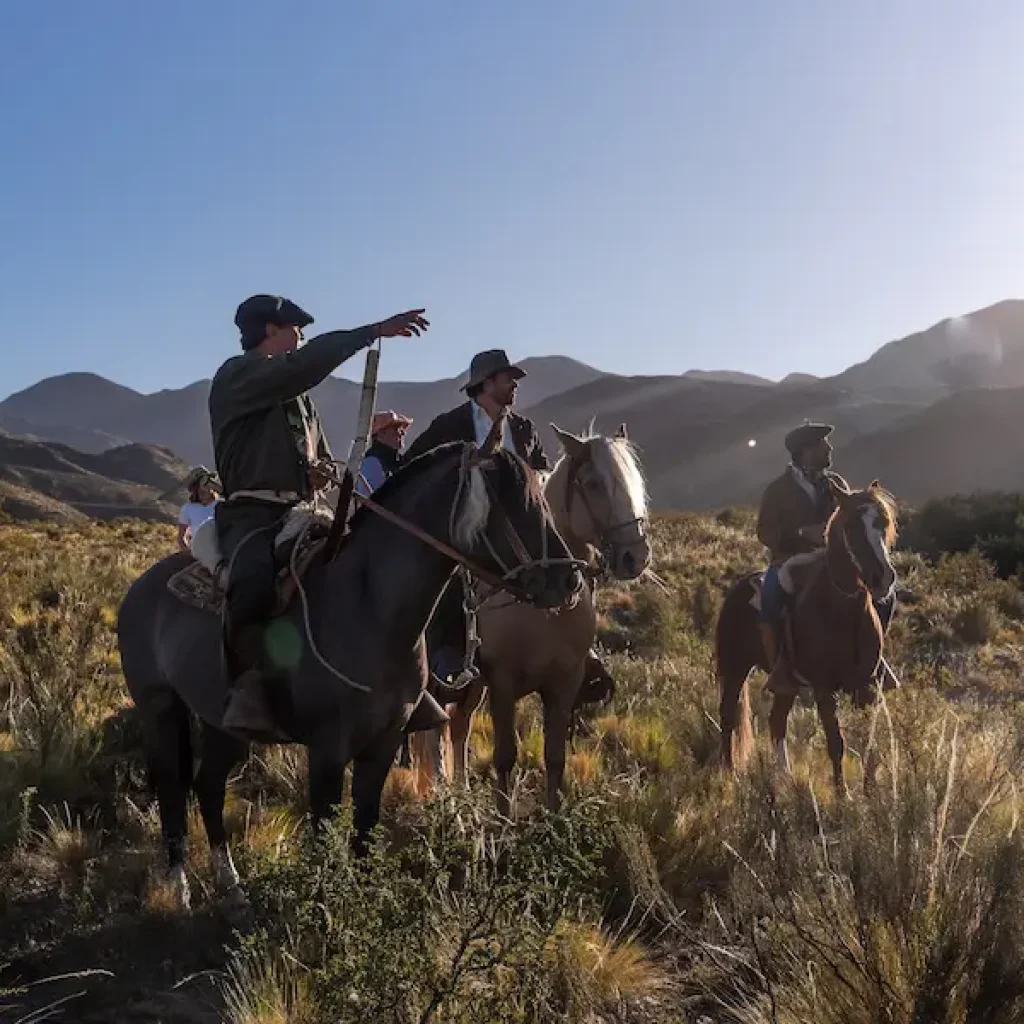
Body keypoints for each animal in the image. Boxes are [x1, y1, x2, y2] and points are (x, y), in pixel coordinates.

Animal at [116, 436, 581, 909]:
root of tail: (138, 589)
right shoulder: (327, 750)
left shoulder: (383, 743)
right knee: (172, 788)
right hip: (160, 709)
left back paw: (232, 886)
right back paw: (180, 889)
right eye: (515, 499)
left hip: (221, 724)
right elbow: (323, 837)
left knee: (207, 786)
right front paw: (324, 914)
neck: (370, 605)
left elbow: (364, 829)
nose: (570, 581)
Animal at [407, 419, 647, 811]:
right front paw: (504, 820)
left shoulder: (564, 682)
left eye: (634, 480)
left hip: (473, 685)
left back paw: (462, 790)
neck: (544, 611)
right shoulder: (503, 682)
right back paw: (443, 796)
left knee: (459, 727)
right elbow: (505, 756)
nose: (635, 557)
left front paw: (552, 817)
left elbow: (555, 758)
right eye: (593, 483)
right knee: (433, 734)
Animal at [712, 475, 897, 794]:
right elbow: (836, 742)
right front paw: (843, 795)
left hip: (785, 681)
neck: (842, 611)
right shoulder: (823, 687)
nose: (882, 578)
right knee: (728, 715)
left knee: (776, 721)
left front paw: (871, 792)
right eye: (851, 526)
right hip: (735, 667)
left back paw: (783, 777)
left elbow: (869, 742)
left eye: (883, 522)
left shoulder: (867, 685)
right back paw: (730, 773)